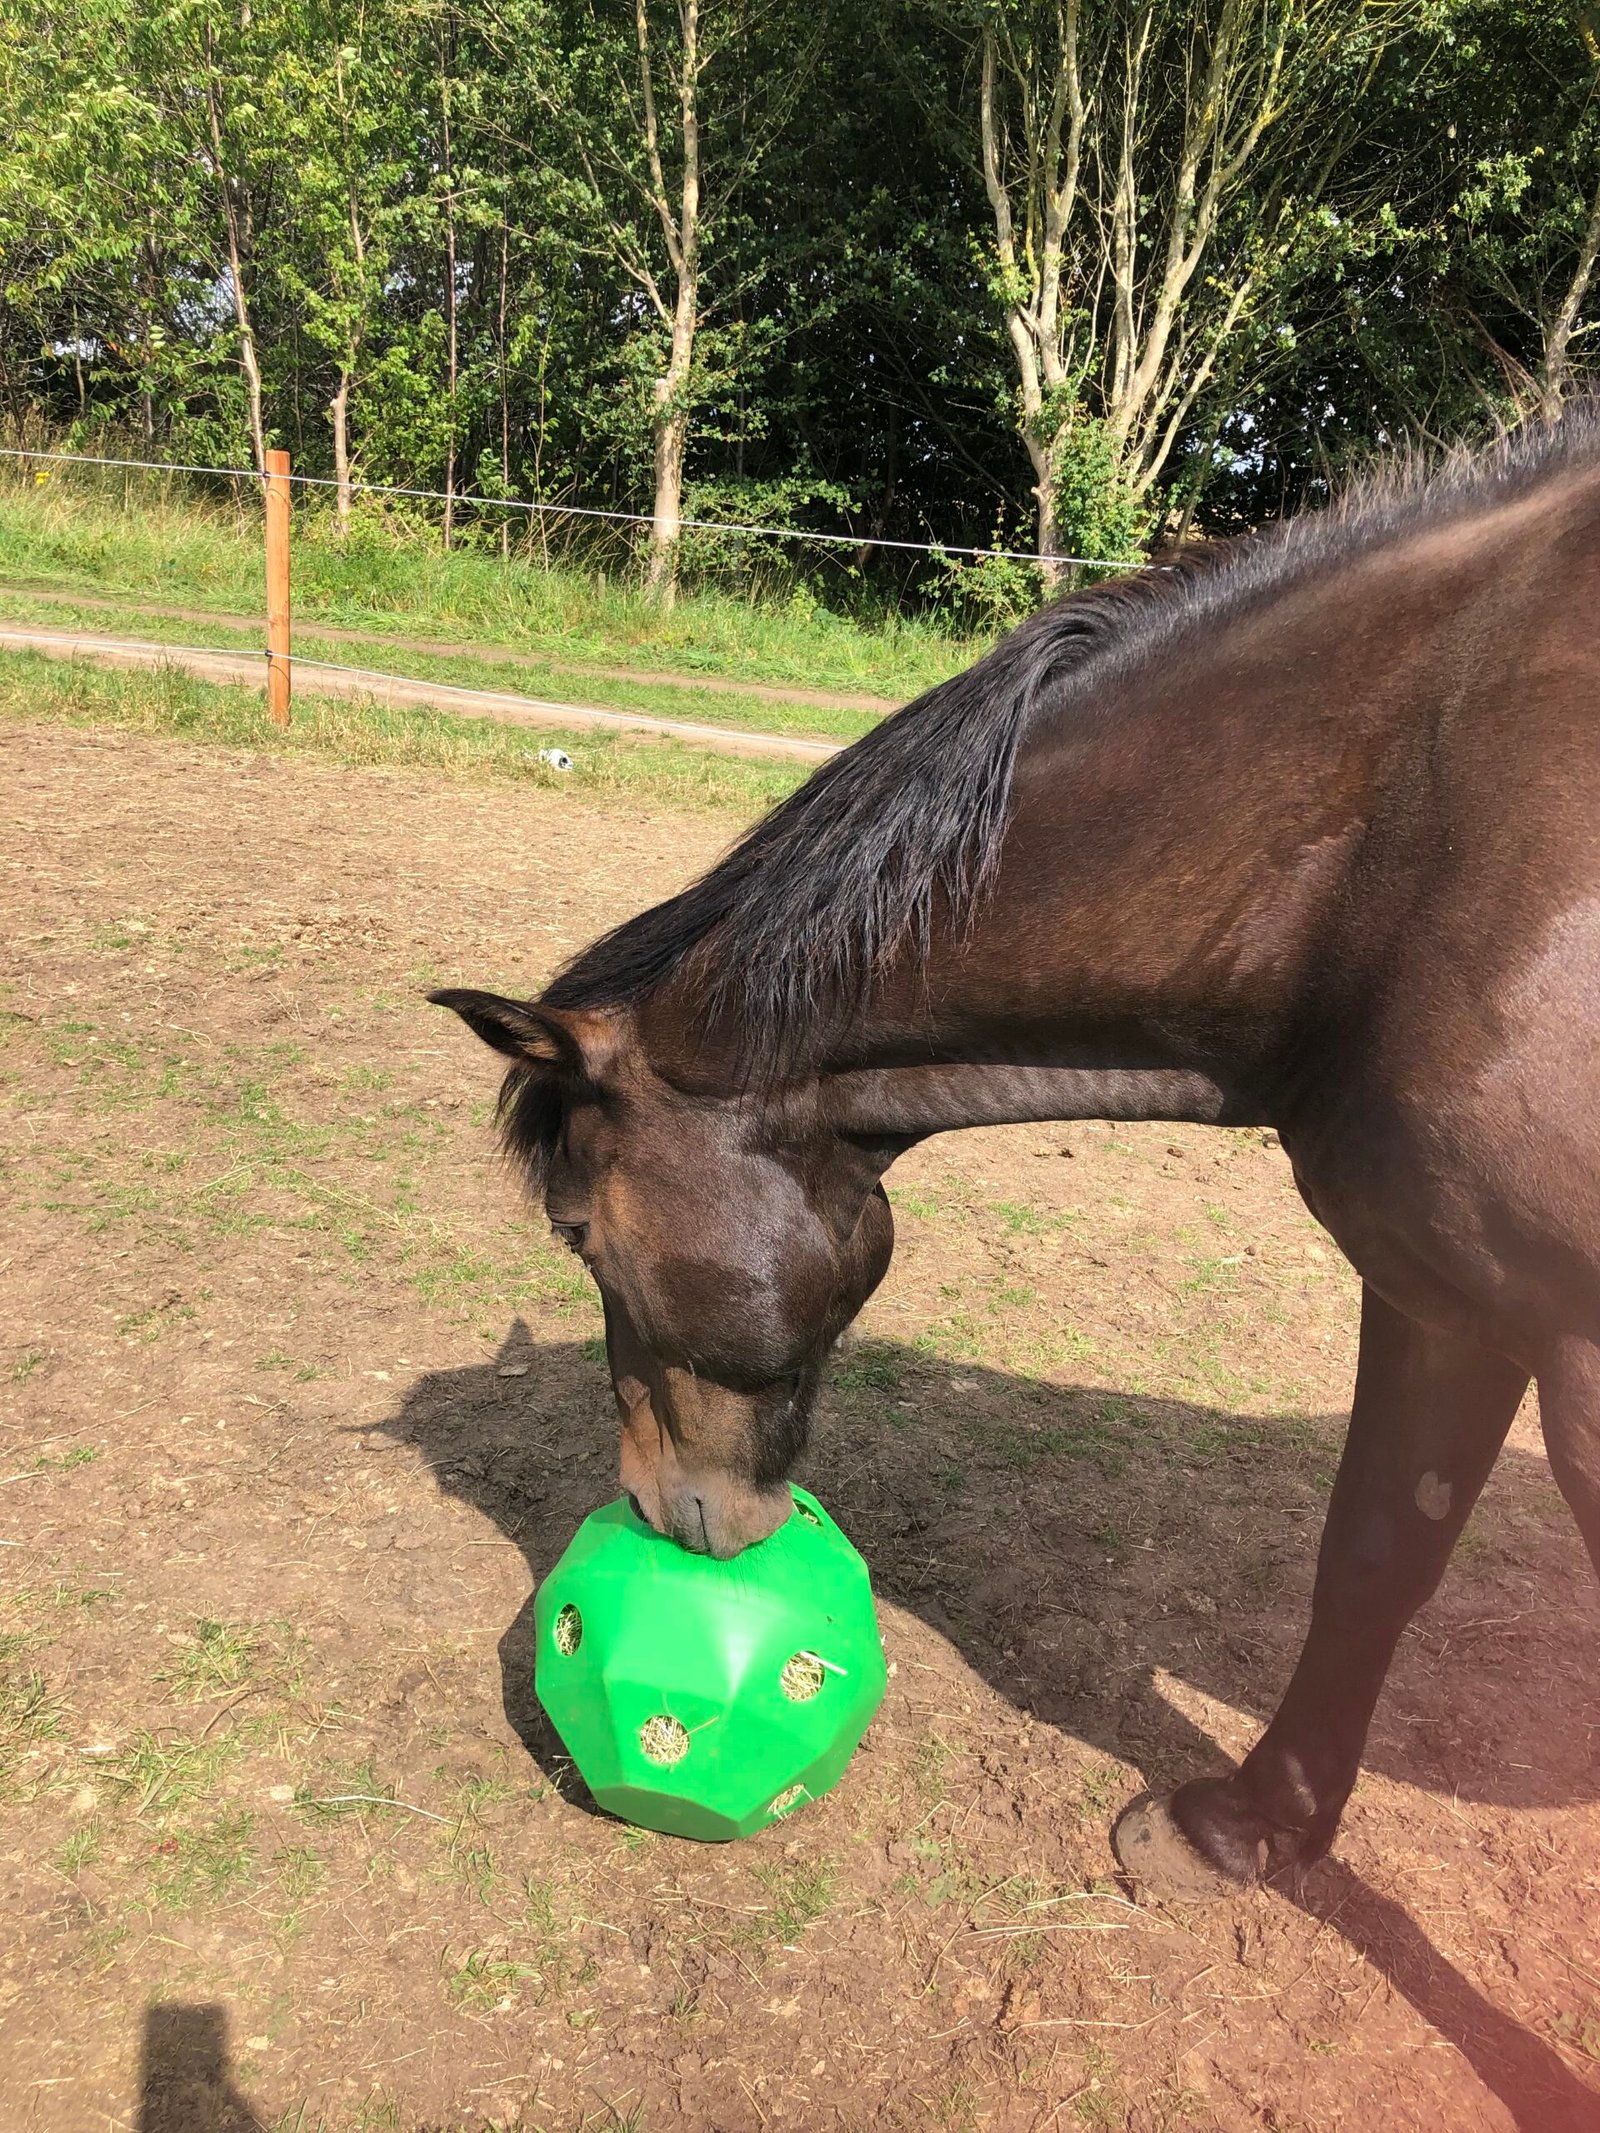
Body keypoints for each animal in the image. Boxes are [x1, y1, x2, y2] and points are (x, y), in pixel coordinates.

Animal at [432, 413, 1600, 1901]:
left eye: (578, 1233)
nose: (654, 1507)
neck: (1427, 833)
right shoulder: (1439, 1294)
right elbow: (1376, 1551)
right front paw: (1245, 1829)